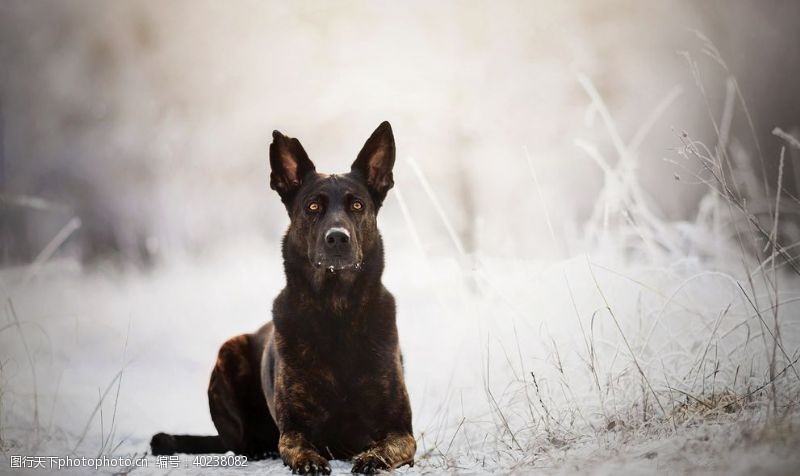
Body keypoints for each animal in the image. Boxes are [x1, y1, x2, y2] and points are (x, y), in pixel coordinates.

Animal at [150, 122, 416, 472]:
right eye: (313, 207)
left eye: (357, 205)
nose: (337, 239)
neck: (336, 310)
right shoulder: (293, 430)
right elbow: (297, 446)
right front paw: (309, 461)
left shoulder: (402, 431)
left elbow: (389, 445)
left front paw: (372, 457)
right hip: (229, 349)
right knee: (243, 443)